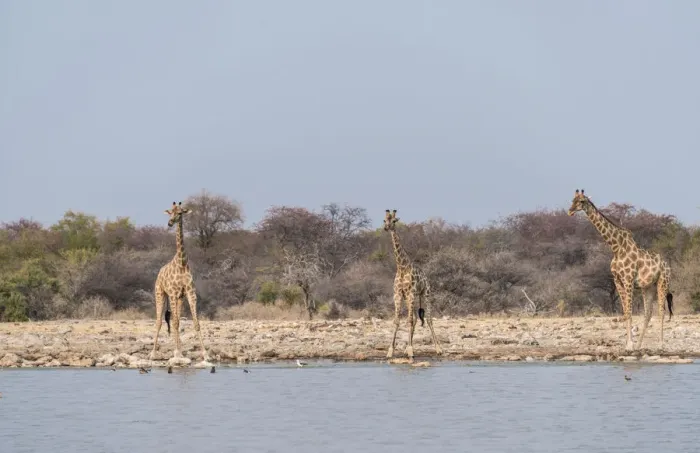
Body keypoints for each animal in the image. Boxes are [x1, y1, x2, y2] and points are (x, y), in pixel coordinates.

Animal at [149, 201, 209, 362]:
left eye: (180, 213)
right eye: (170, 212)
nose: (170, 222)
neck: (182, 263)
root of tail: (159, 273)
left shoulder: (190, 293)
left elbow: (196, 323)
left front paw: (205, 354)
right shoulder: (173, 293)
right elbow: (174, 323)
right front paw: (177, 353)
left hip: (179, 298)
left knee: (176, 320)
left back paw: (179, 349)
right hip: (160, 294)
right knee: (159, 322)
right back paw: (153, 353)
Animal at [383, 209, 442, 361]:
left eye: (394, 221)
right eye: (384, 220)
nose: (386, 228)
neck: (402, 267)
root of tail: (426, 277)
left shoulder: (410, 294)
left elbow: (409, 320)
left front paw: (410, 350)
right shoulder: (398, 295)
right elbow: (397, 321)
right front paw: (391, 351)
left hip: (425, 294)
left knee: (428, 319)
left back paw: (438, 349)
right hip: (414, 298)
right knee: (416, 318)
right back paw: (406, 349)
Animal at [567, 189, 673, 351]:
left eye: (582, 201)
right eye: (572, 200)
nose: (570, 211)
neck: (616, 247)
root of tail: (667, 265)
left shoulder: (628, 280)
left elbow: (628, 312)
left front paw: (629, 344)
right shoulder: (617, 280)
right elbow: (626, 311)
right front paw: (629, 344)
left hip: (663, 282)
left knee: (661, 311)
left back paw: (661, 344)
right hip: (648, 287)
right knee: (648, 313)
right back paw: (640, 345)